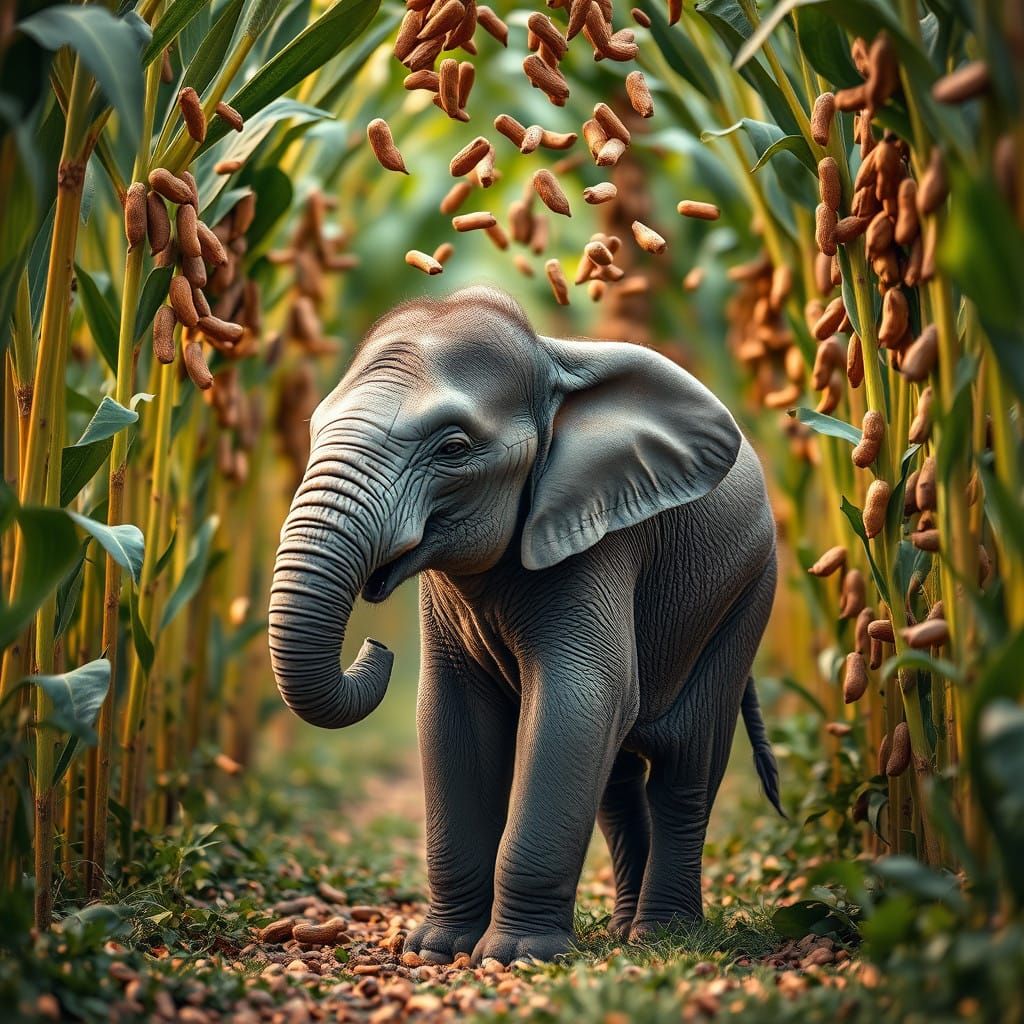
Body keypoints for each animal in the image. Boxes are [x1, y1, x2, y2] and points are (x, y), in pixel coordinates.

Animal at [268, 285, 783, 966]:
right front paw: (439, 949)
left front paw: (517, 957)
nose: (375, 645)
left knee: (687, 766)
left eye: (453, 449)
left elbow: (581, 699)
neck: (549, 360)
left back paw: (662, 936)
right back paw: (623, 933)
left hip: (748, 592)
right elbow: (450, 714)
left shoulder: (599, 543)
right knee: (618, 782)